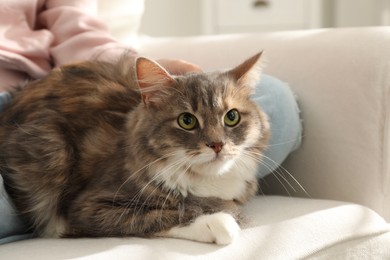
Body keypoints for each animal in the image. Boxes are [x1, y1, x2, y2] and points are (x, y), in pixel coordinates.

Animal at [0, 52, 270, 244]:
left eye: (231, 117)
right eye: (187, 121)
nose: (217, 144)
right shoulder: (88, 207)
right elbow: (159, 215)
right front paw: (219, 222)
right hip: (52, 149)